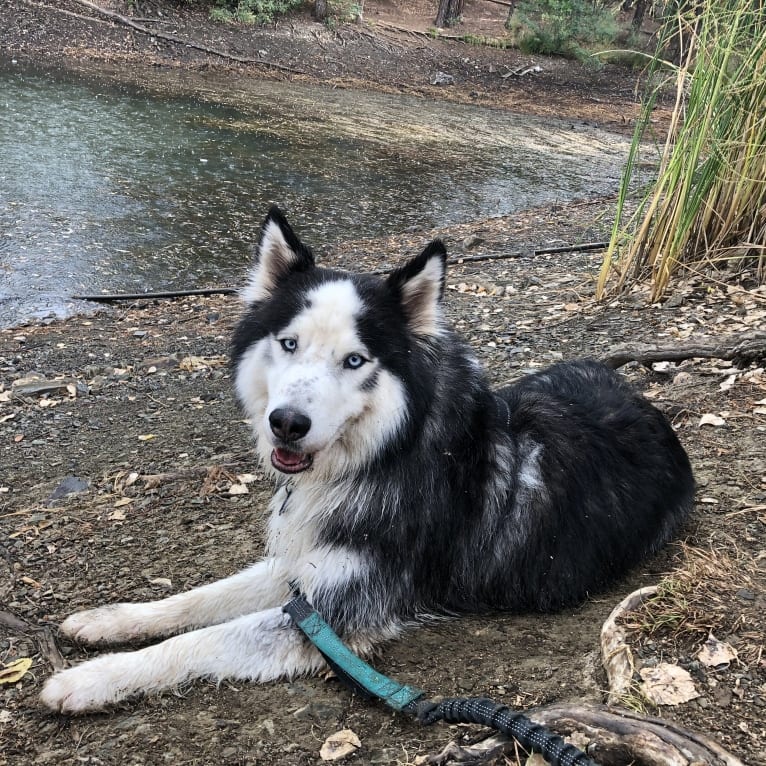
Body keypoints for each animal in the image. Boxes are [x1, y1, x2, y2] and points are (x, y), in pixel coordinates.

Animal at [45, 208, 700, 712]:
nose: (286, 423)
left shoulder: (337, 615)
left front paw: (89, 679)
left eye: (355, 361)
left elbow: (198, 641)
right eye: (289, 344)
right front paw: (107, 621)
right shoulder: (303, 568)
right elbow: (199, 599)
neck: (383, 453)